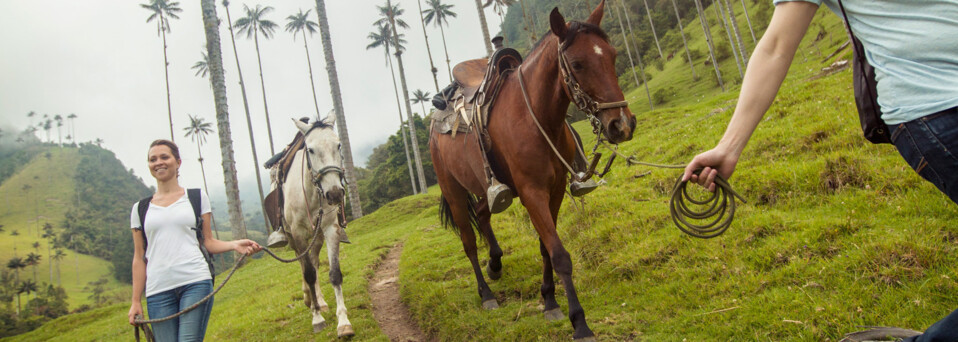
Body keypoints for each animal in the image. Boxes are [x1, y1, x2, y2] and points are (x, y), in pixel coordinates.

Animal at [284, 115, 354, 336]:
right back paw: (310, 299)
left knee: (314, 262)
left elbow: (334, 274)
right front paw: (317, 318)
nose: (335, 194)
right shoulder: (298, 234)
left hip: (316, 237)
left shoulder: (330, 229)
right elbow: (307, 273)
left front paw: (343, 322)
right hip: (294, 238)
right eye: (311, 150)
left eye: (338, 145)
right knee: (305, 266)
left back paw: (319, 301)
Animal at [432, 2, 632, 340]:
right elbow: (559, 253)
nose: (622, 124)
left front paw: (550, 300)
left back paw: (495, 265)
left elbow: (545, 248)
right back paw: (486, 294)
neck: (534, 118)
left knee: (483, 213)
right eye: (577, 64)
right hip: (453, 190)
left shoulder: (555, 191)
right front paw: (579, 322)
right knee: (468, 242)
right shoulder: (532, 192)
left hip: (488, 187)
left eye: (613, 55)